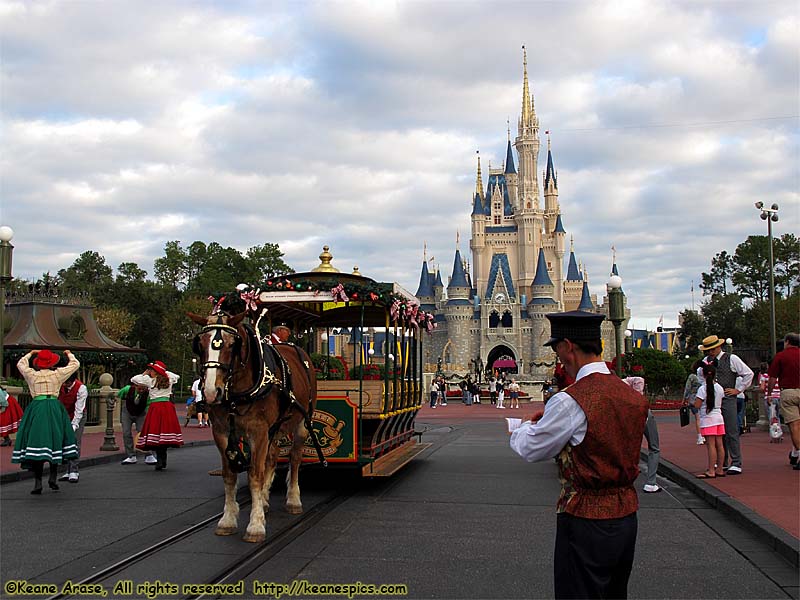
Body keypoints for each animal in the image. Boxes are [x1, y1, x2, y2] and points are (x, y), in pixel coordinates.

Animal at [189, 310, 318, 544]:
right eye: (200, 344)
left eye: (232, 345)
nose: (212, 392)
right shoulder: (221, 432)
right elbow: (229, 475)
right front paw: (228, 521)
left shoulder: (258, 431)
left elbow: (255, 475)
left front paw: (255, 526)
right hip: (274, 428)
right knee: (272, 457)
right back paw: (265, 501)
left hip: (302, 423)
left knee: (294, 459)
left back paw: (293, 500)